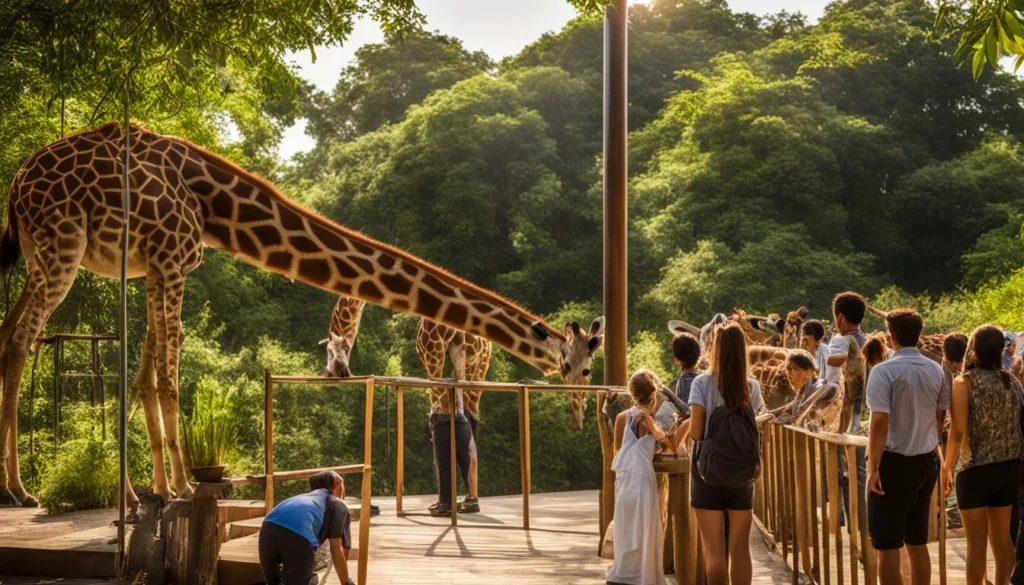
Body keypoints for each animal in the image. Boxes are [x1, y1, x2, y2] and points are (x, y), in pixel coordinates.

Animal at [0, 122, 604, 507]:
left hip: (39, 252)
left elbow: (148, 374)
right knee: (21, 339)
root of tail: (17, 183)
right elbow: (168, 375)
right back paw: (20, 490)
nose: (582, 409)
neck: (215, 206)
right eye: (580, 366)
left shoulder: (158, 266)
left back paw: (48, 489)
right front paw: (185, 489)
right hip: (62, 246)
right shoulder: (169, 260)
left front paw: (160, 491)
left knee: (11, 333)